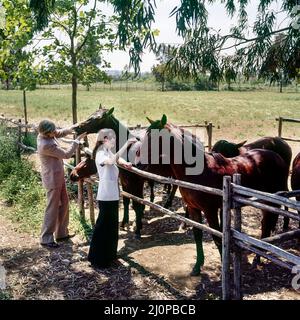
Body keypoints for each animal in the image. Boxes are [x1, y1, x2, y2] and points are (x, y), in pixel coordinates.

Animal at [137, 115, 290, 276]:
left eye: (156, 138)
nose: (139, 164)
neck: (199, 171)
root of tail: (278, 157)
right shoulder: (194, 209)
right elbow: (197, 235)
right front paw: (197, 266)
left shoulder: (210, 210)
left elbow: (217, 238)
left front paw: (226, 269)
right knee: (266, 224)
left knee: (266, 224)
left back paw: (257, 258)